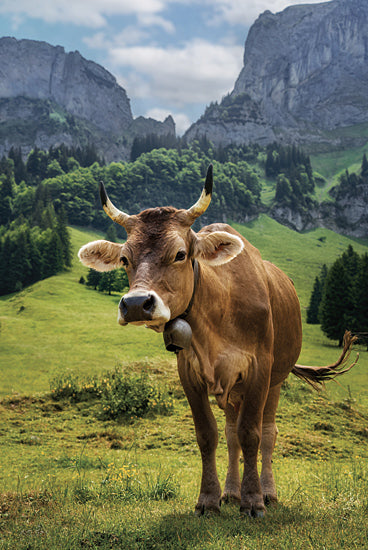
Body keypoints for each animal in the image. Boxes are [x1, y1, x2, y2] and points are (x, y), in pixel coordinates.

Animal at [79, 166, 358, 520]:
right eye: (125, 259)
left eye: (180, 254)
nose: (136, 304)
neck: (217, 316)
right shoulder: (189, 372)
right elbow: (208, 435)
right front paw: (209, 499)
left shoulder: (259, 369)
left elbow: (252, 433)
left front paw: (253, 501)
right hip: (233, 389)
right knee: (230, 434)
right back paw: (230, 492)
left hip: (276, 379)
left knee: (268, 433)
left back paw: (268, 492)